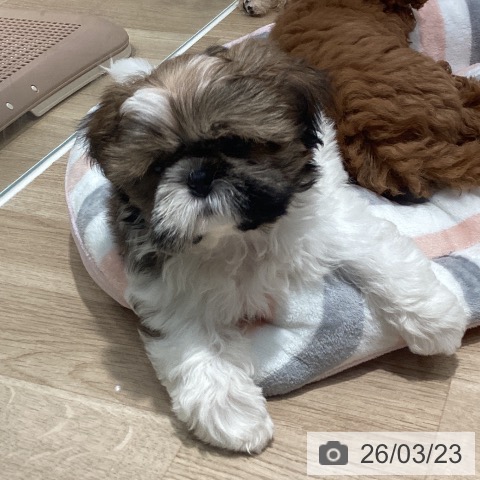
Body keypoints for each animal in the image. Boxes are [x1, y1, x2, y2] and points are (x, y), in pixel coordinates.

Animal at [81, 39, 467, 453]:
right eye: (158, 166)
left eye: (235, 143)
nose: (199, 176)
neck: (239, 237)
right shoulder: (169, 292)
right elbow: (195, 345)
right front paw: (233, 414)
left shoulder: (334, 223)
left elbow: (379, 257)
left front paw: (435, 319)